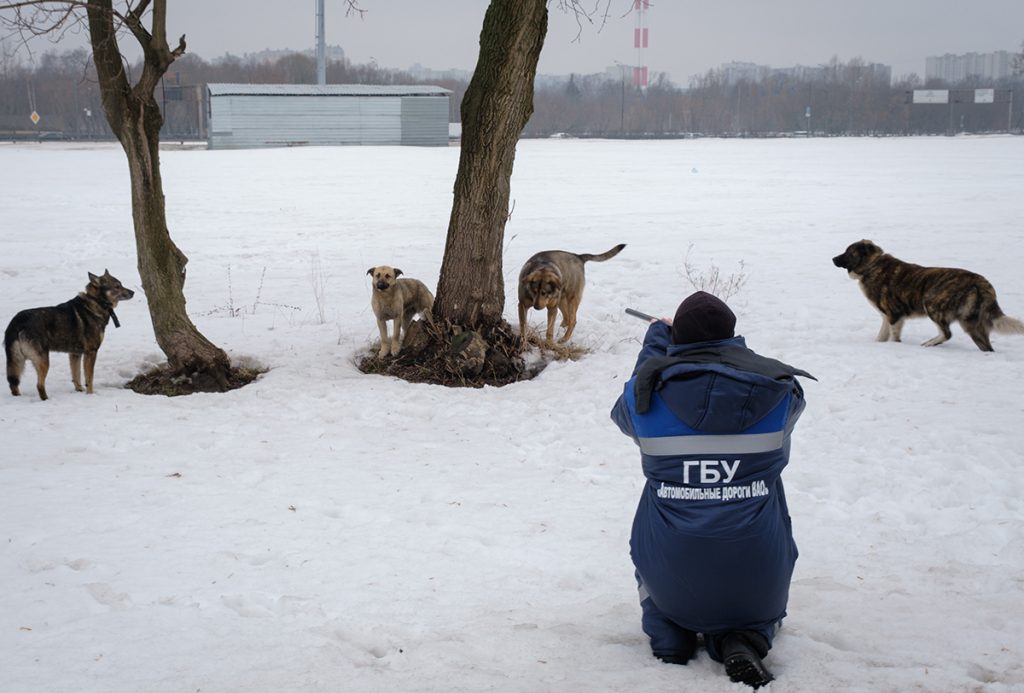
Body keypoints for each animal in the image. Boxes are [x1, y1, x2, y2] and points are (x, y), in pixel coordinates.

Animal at [5, 270, 134, 399]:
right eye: (117, 286)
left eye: (121, 284)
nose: (133, 292)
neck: (96, 301)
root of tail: (16, 322)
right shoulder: (91, 352)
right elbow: (89, 378)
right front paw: (90, 395)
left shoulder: (75, 354)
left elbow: (76, 376)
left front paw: (79, 390)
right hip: (42, 361)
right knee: (39, 385)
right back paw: (46, 399)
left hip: (17, 361)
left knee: (13, 384)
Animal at [831, 239, 1024, 352]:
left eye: (848, 252)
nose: (833, 258)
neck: (872, 265)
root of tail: (981, 281)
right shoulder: (887, 316)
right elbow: (881, 336)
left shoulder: (894, 315)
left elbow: (893, 336)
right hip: (971, 322)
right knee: (986, 346)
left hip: (932, 303)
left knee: (947, 333)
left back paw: (930, 343)